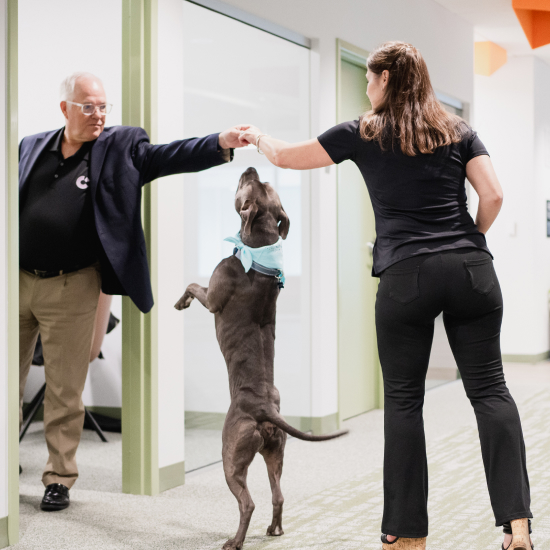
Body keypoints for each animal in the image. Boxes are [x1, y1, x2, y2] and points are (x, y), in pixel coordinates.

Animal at [176, 168, 350, 550]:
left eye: (249, 186)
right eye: (266, 185)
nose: (250, 168)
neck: (258, 247)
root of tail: (264, 410)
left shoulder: (213, 296)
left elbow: (193, 285)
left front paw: (180, 301)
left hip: (231, 457)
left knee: (248, 502)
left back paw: (235, 541)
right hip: (275, 452)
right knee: (278, 495)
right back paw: (275, 529)